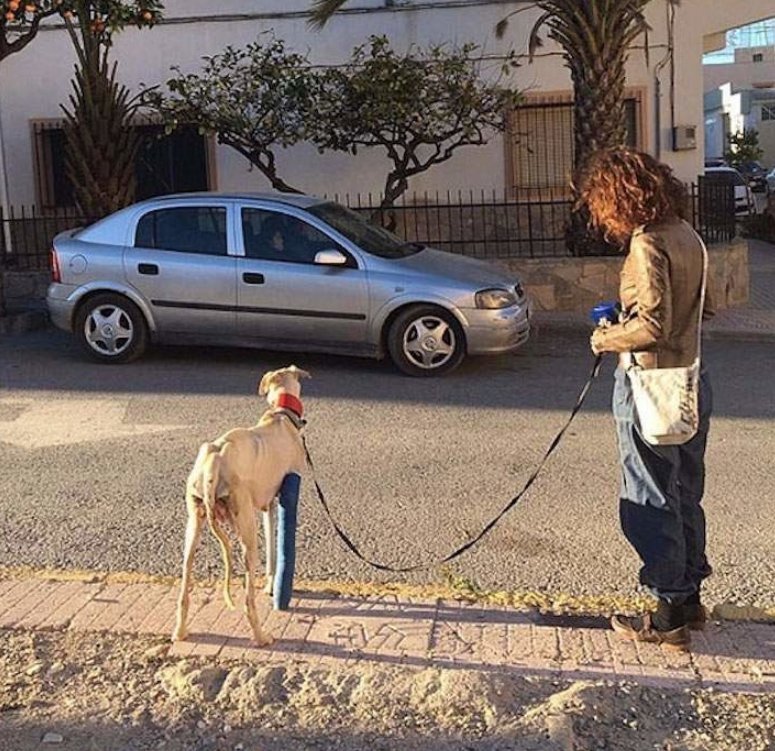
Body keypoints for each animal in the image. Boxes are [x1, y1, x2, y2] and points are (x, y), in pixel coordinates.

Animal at [174, 364, 310, 648]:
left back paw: (180, 631)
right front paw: (272, 587)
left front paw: (270, 583)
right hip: (246, 528)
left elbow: (272, 545)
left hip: (194, 525)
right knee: (248, 601)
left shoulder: (267, 505)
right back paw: (261, 636)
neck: (280, 416)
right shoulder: (281, 498)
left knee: (184, 585)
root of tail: (214, 461)